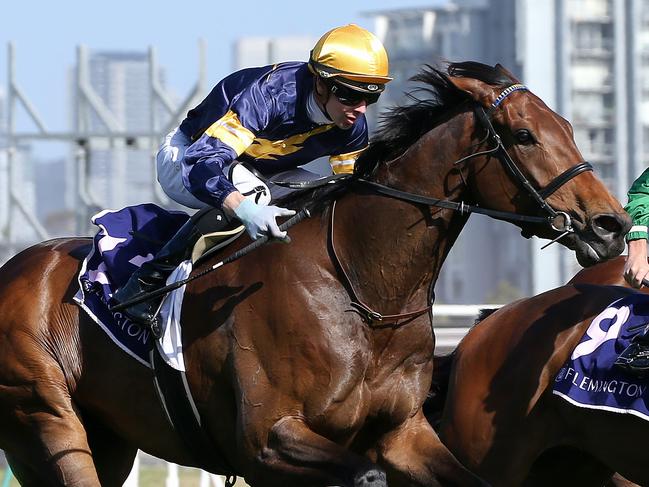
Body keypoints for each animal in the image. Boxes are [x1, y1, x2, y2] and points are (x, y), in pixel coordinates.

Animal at [0, 63, 628, 486]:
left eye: (570, 126)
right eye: (523, 135)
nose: (610, 225)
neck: (362, 289)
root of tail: (19, 265)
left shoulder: (401, 432)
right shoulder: (268, 440)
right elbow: (364, 476)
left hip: (108, 437)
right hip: (47, 419)